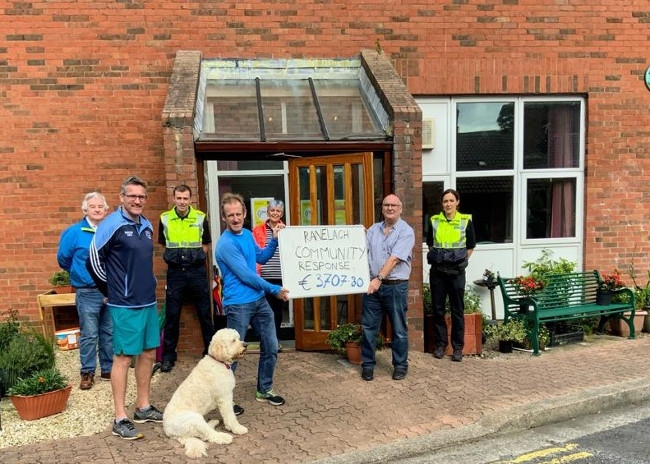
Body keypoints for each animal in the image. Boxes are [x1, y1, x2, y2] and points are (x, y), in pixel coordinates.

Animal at [163, 328, 249, 458]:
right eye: (233, 340)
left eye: (238, 338)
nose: (245, 344)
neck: (218, 361)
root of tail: (169, 432)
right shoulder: (225, 397)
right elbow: (230, 416)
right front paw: (237, 428)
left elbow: (228, 415)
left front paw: (229, 426)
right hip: (194, 419)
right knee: (209, 435)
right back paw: (223, 437)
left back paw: (213, 422)